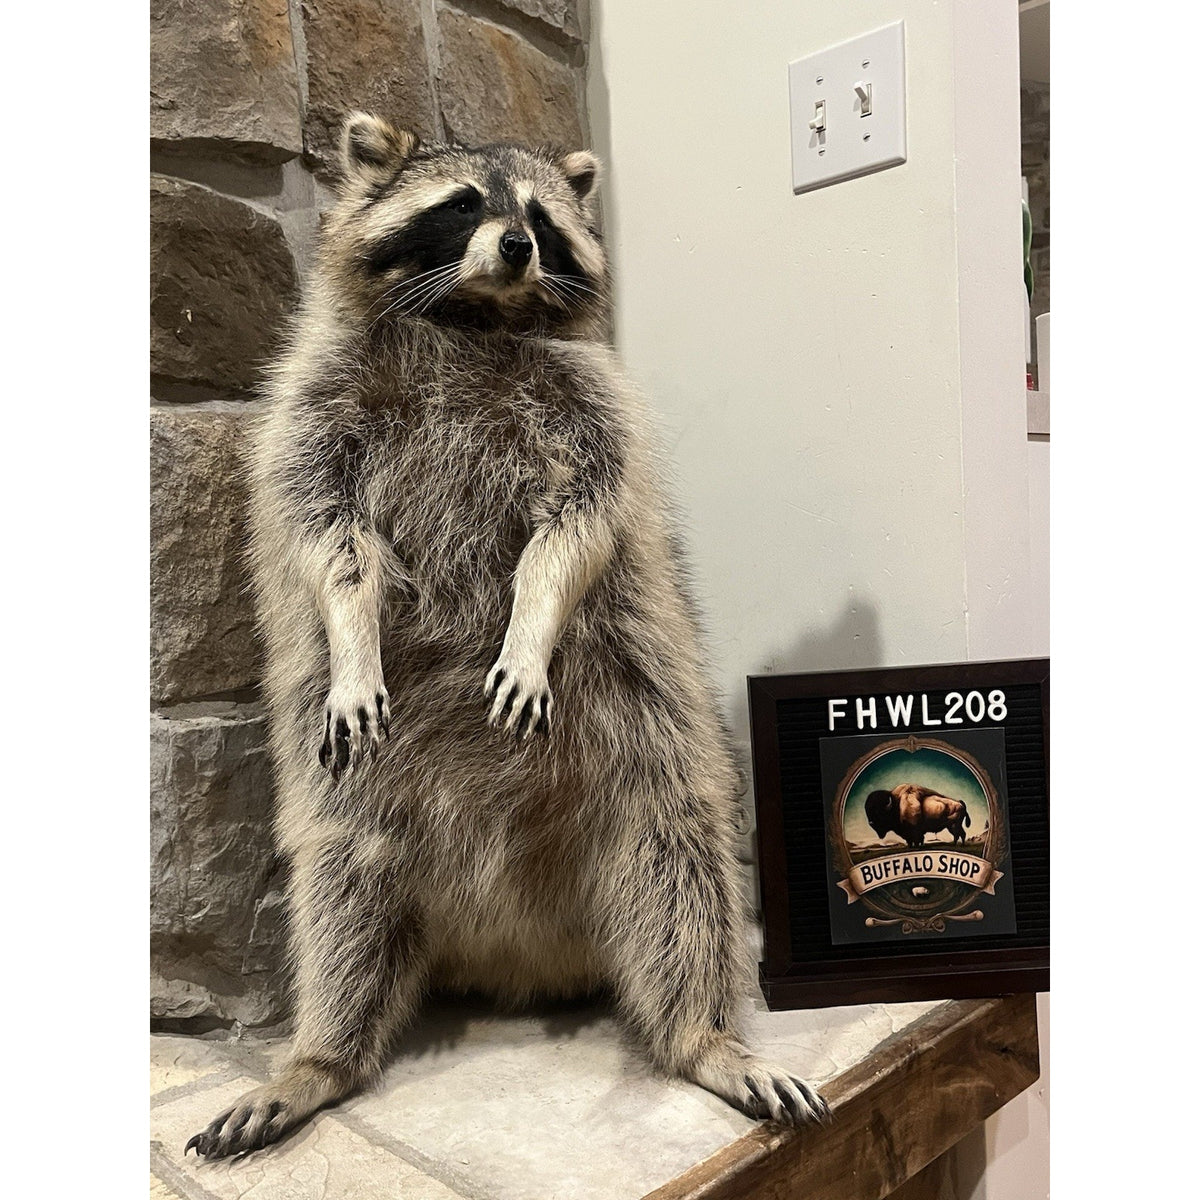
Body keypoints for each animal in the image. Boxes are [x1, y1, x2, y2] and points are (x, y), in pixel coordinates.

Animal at [186, 112, 828, 1159]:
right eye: (461, 207)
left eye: (539, 215)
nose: (518, 245)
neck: (473, 316)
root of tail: (517, 952)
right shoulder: (310, 411)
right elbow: (331, 540)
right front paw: (353, 638)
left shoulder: (594, 407)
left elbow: (577, 530)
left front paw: (530, 623)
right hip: (353, 801)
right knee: (342, 887)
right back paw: (322, 1055)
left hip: (651, 732)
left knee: (683, 858)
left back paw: (703, 1035)